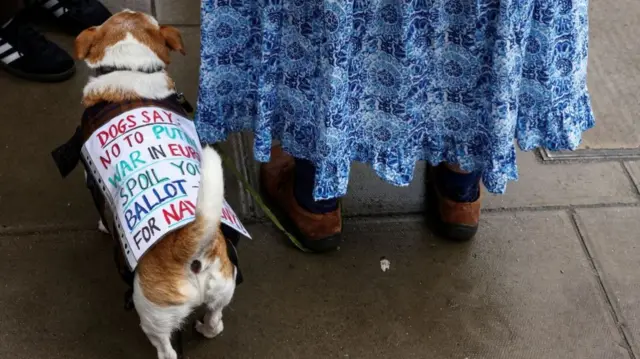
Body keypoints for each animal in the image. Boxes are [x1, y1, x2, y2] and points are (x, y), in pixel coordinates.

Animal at [73, 9, 238, 359]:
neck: (130, 68)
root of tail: (189, 249)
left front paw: (104, 226)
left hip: (152, 315)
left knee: (166, 350)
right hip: (222, 290)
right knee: (215, 321)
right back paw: (204, 328)